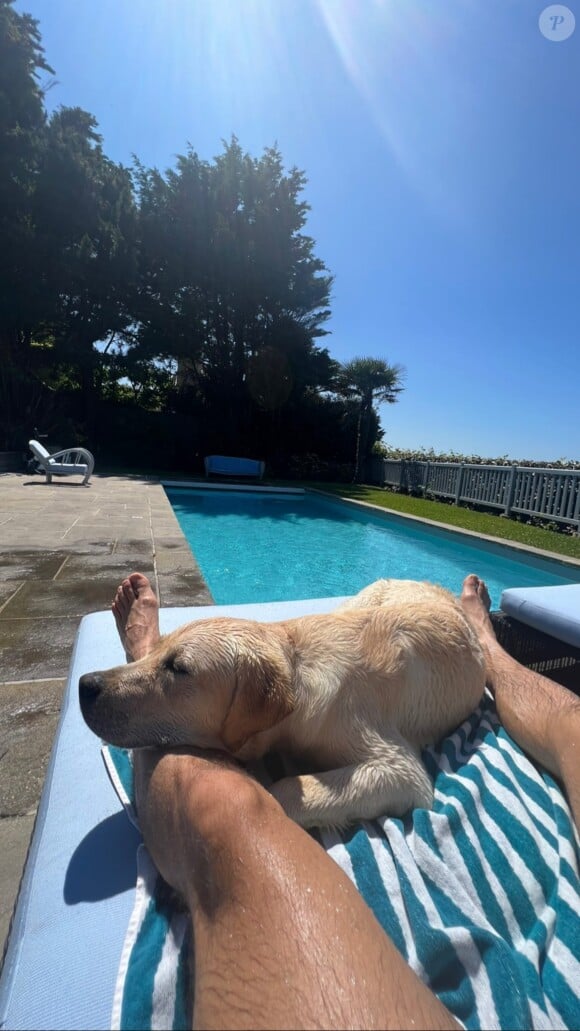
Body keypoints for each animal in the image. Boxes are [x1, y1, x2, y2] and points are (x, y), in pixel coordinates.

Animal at [77, 581, 486, 828]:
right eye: (159, 650)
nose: (85, 686)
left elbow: (285, 789)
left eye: (178, 668)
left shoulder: (400, 769)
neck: (300, 671)